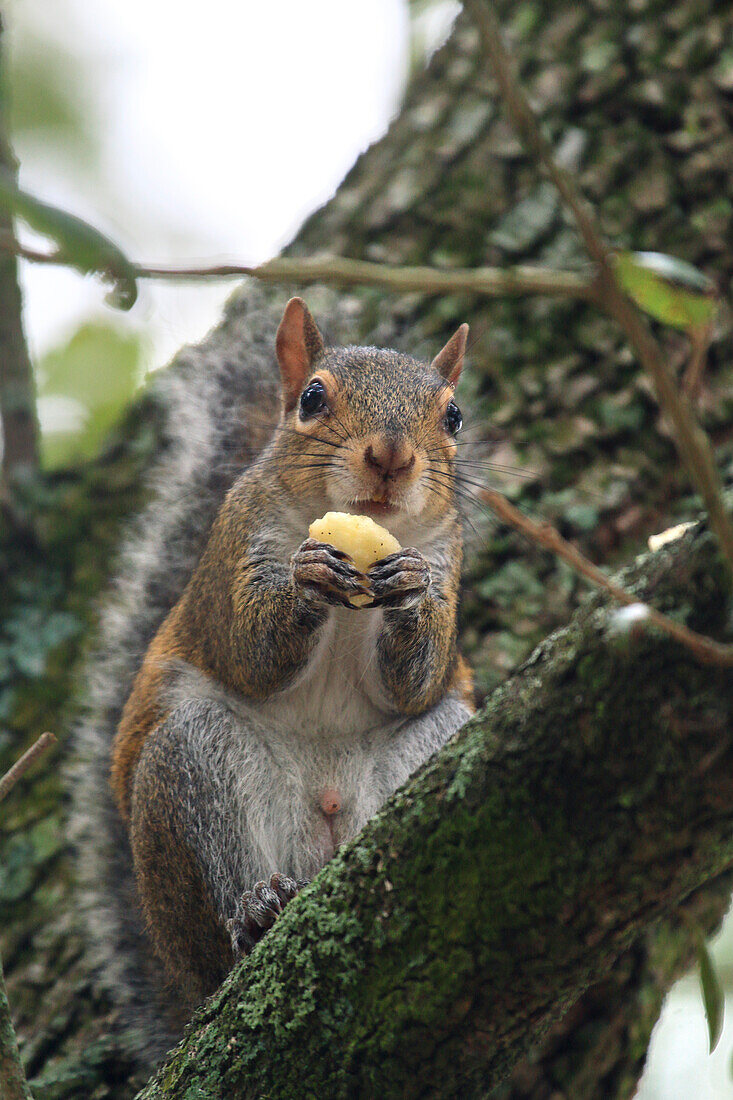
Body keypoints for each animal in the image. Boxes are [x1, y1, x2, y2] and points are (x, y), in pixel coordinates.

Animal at [72, 290, 473, 1064]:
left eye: (454, 417)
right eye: (312, 399)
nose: (391, 456)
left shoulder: (450, 562)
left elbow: (417, 678)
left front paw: (407, 591)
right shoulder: (234, 548)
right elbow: (249, 649)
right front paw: (306, 580)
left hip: (436, 741)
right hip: (192, 768)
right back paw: (256, 911)